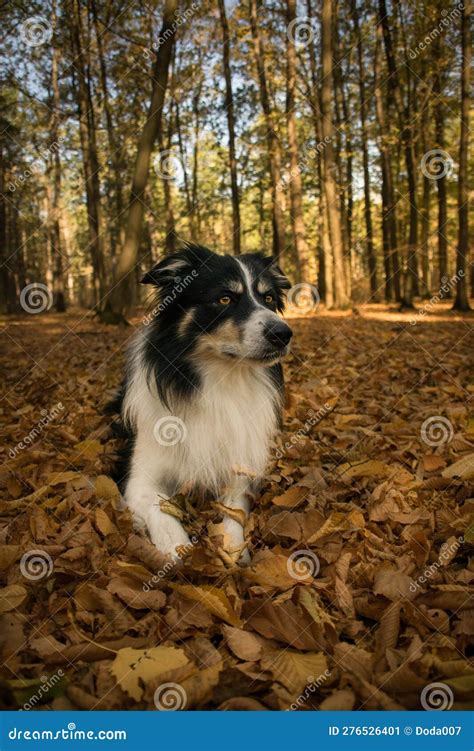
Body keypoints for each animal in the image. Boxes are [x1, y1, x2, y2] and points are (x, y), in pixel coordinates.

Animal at [115, 245, 292, 564]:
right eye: (224, 298)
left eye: (269, 298)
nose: (283, 334)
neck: (220, 380)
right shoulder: (138, 478)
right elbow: (164, 516)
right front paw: (180, 554)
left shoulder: (240, 466)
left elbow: (234, 512)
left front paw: (232, 551)